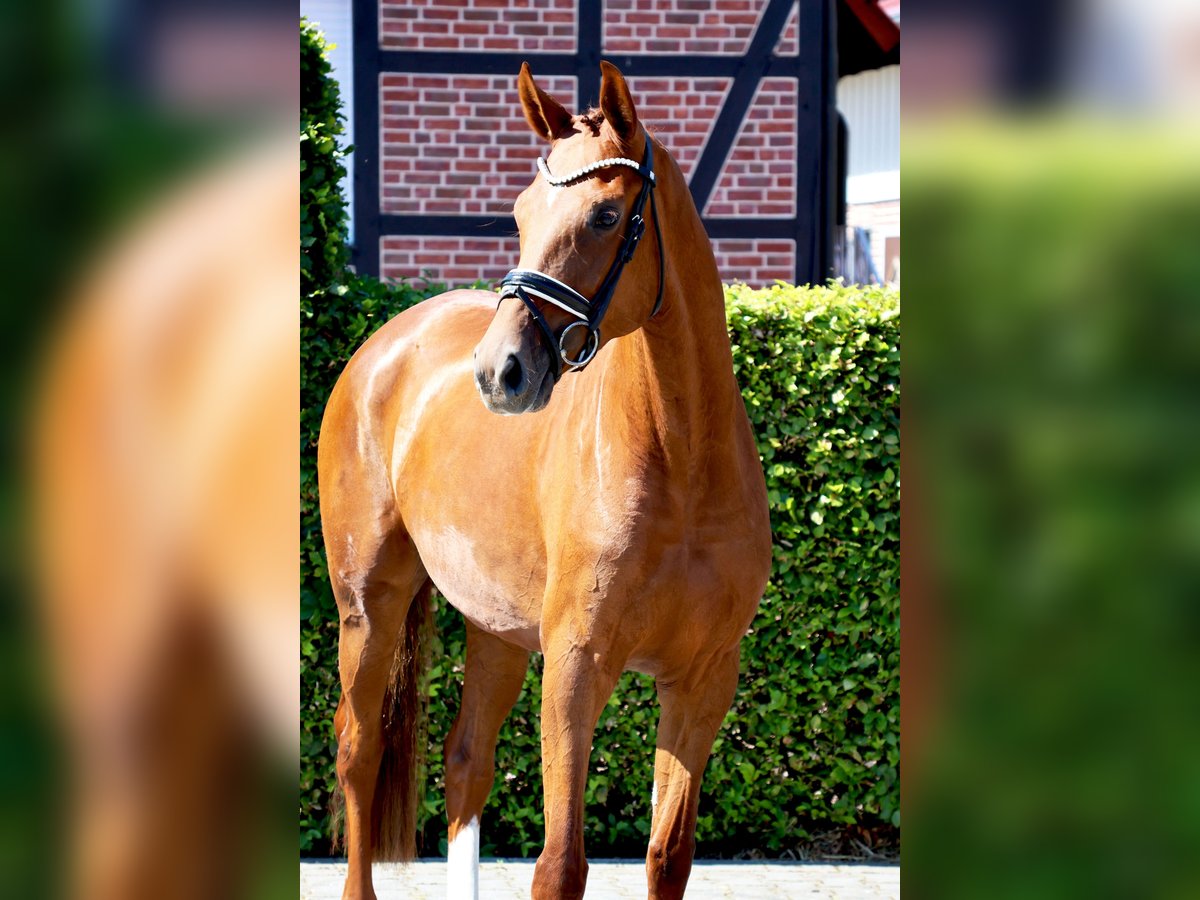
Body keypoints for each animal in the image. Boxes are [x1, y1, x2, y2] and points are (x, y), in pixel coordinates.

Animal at [318, 61, 772, 900]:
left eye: (604, 215)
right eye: (522, 213)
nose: (500, 371)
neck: (682, 461)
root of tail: (384, 345)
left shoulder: (702, 682)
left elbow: (669, 855)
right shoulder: (574, 667)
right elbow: (561, 865)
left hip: (494, 626)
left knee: (466, 763)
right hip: (369, 605)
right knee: (357, 754)